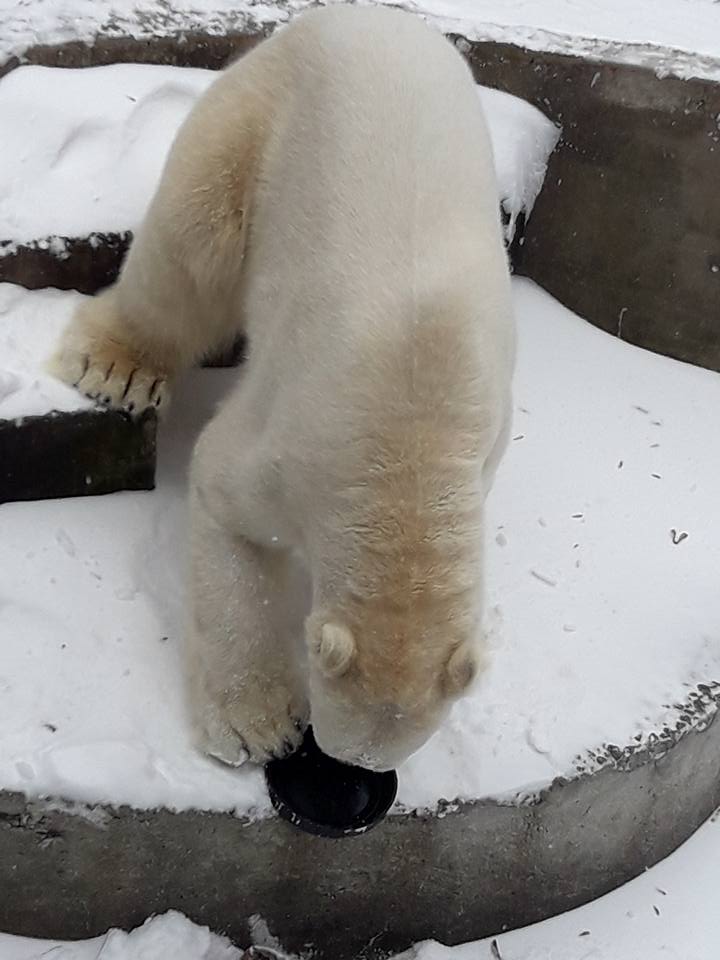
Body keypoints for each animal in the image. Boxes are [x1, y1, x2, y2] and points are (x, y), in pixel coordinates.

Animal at [49, 3, 512, 772]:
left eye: (377, 762)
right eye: (341, 746)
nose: (351, 772)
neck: (415, 433)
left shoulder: (488, 440)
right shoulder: (293, 451)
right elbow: (224, 505)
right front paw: (257, 728)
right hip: (256, 117)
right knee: (192, 247)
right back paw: (118, 366)